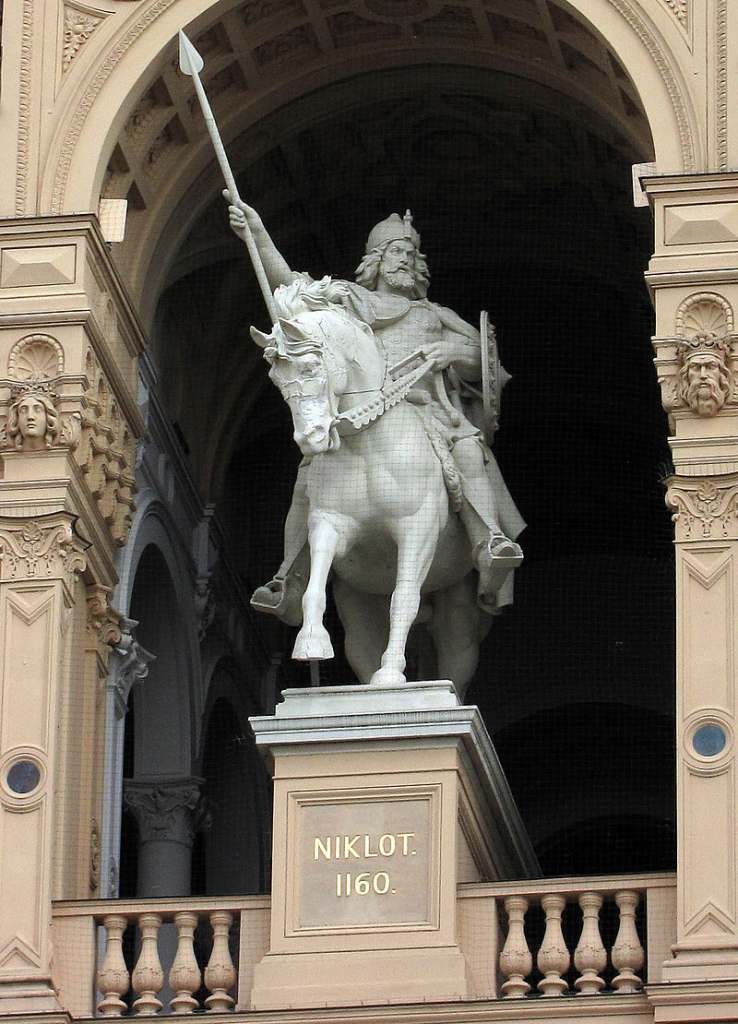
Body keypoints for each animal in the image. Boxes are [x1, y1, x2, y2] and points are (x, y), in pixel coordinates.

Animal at [250, 280, 491, 696]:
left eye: (311, 366)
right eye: (276, 381)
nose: (311, 438)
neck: (368, 446)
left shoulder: (418, 529)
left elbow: (404, 598)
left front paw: (392, 674)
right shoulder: (330, 523)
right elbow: (315, 587)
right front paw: (311, 643)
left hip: (458, 597)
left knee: (455, 652)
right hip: (359, 602)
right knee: (362, 643)